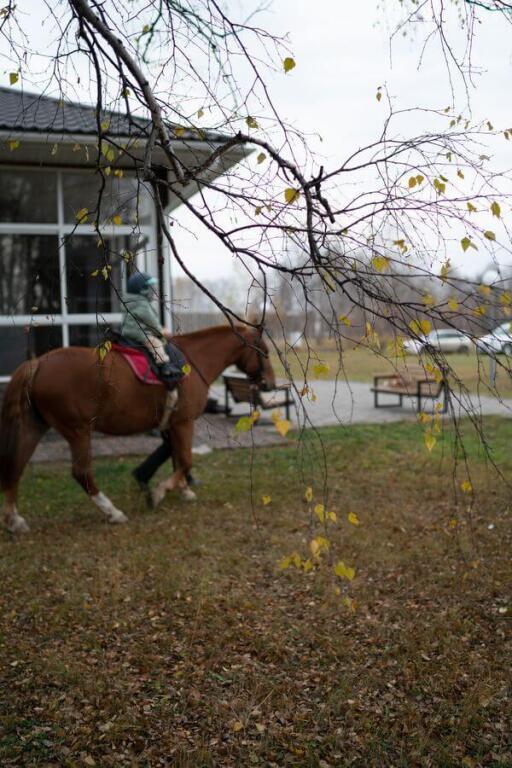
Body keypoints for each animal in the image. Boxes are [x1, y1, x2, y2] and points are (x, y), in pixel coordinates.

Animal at [0, 324, 276, 536]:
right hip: (78, 431)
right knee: (81, 473)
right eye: (263, 351)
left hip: (34, 427)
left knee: (15, 467)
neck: (192, 360)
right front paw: (159, 492)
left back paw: (15, 520)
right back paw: (112, 512)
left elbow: (176, 457)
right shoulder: (183, 423)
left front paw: (181, 489)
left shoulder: (170, 426)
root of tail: (37, 363)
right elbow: (185, 459)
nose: (270, 384)